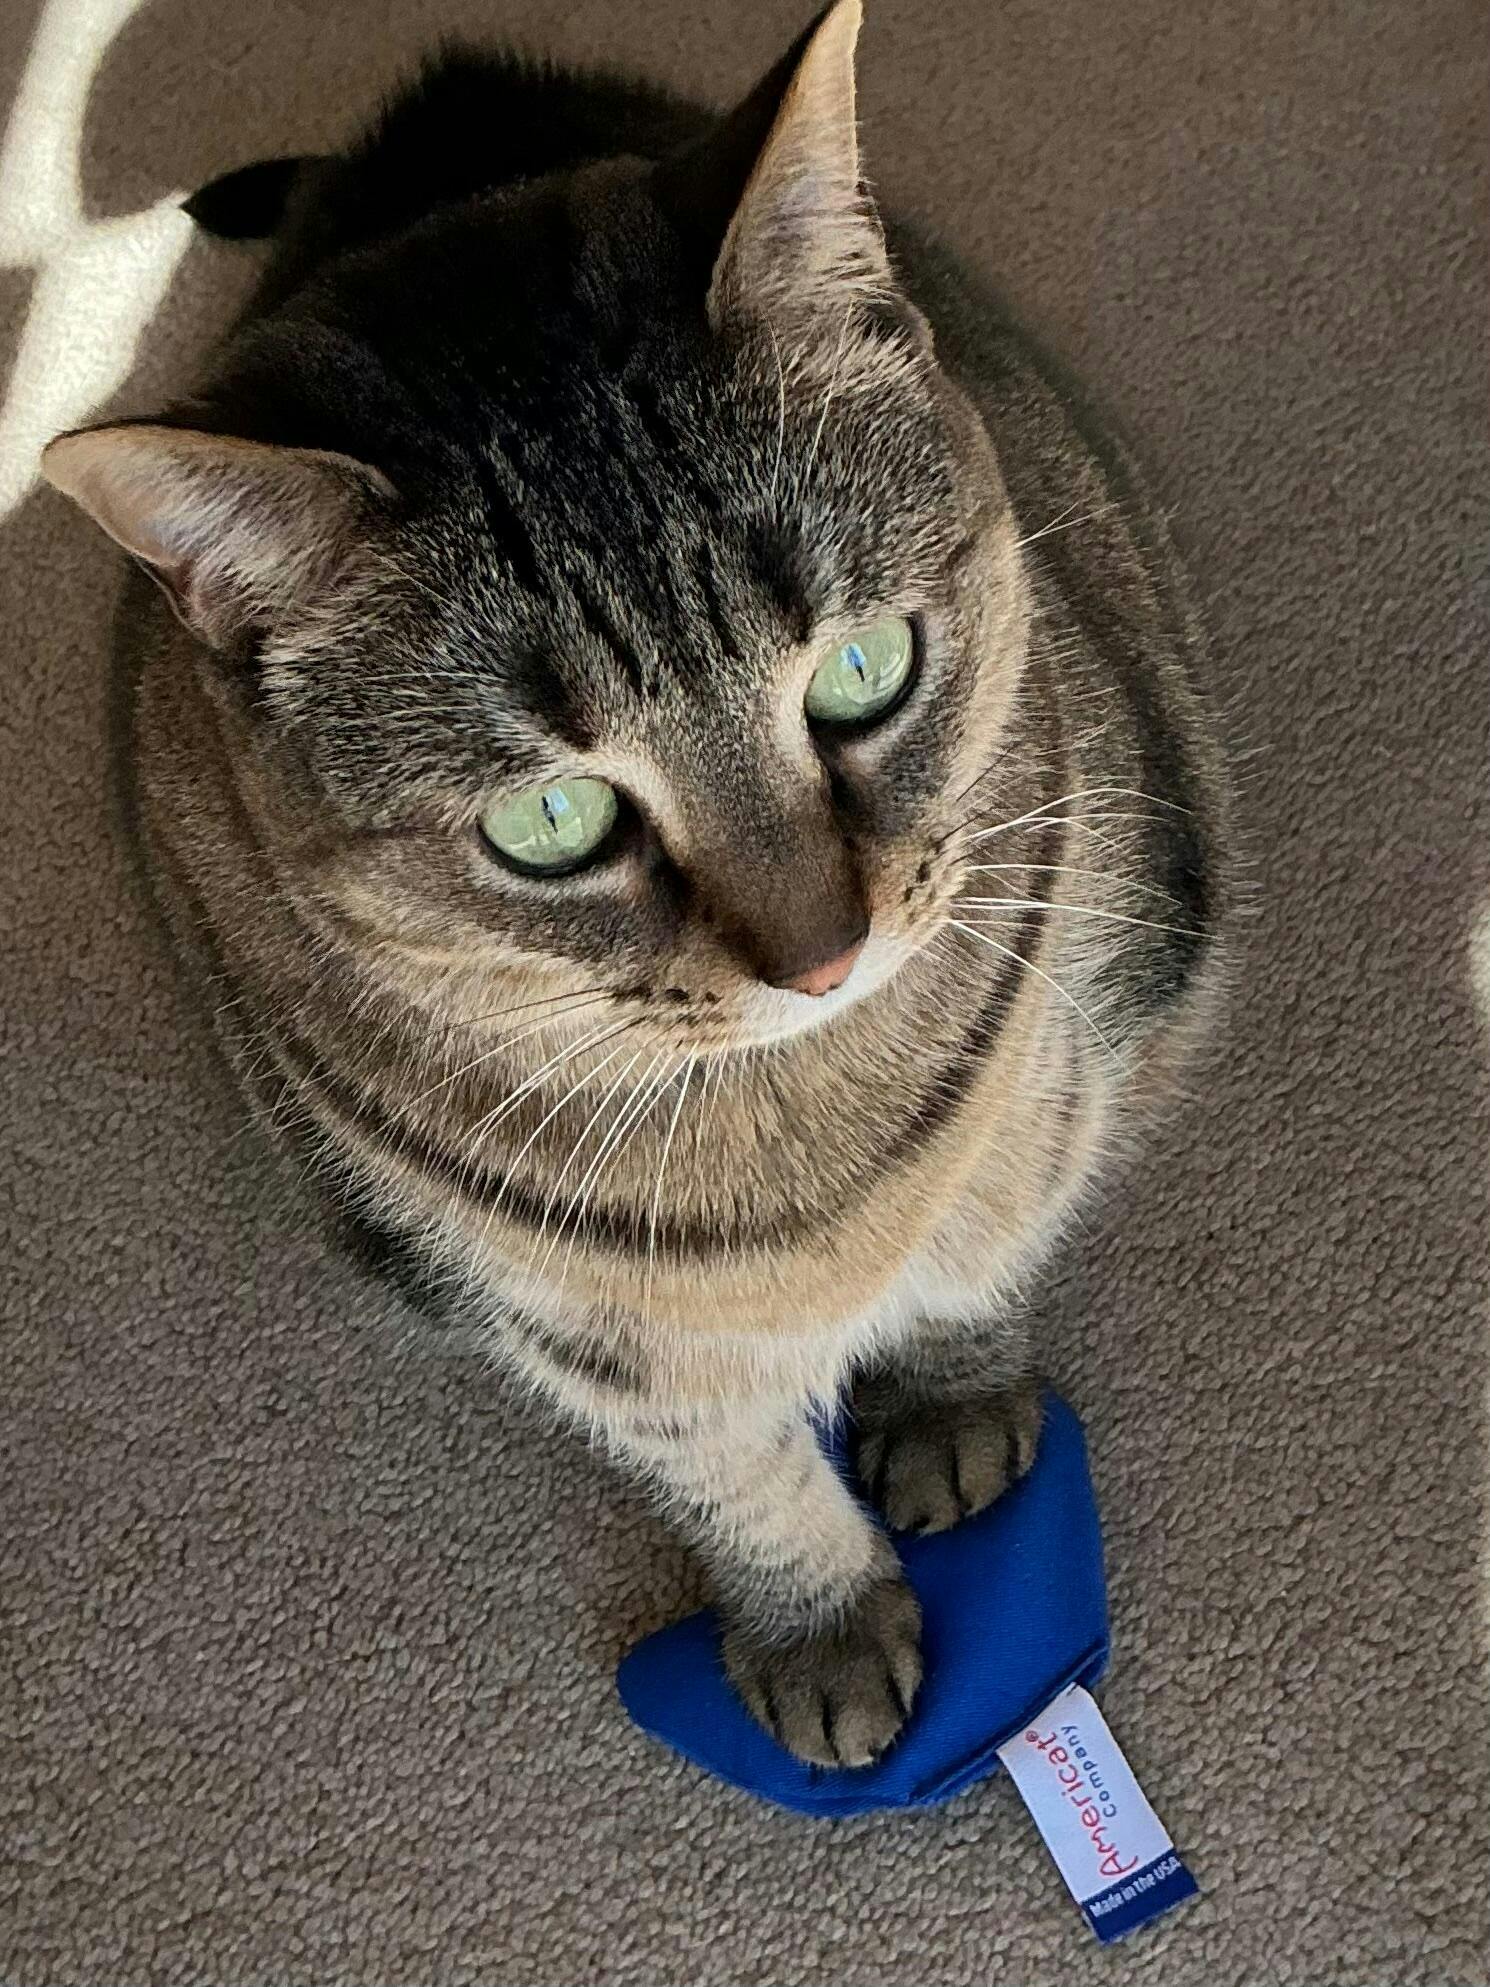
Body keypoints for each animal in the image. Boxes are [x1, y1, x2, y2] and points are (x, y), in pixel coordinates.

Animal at [43, 0, 1228, 1768]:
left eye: (863, 669)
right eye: (552, 820)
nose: (824, 955)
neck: (808, 1147)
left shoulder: (1050, 1053)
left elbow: (976, 1252)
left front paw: (947, 1400)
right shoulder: (577, 1321)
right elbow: (730, 1467)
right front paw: (816, 1619)